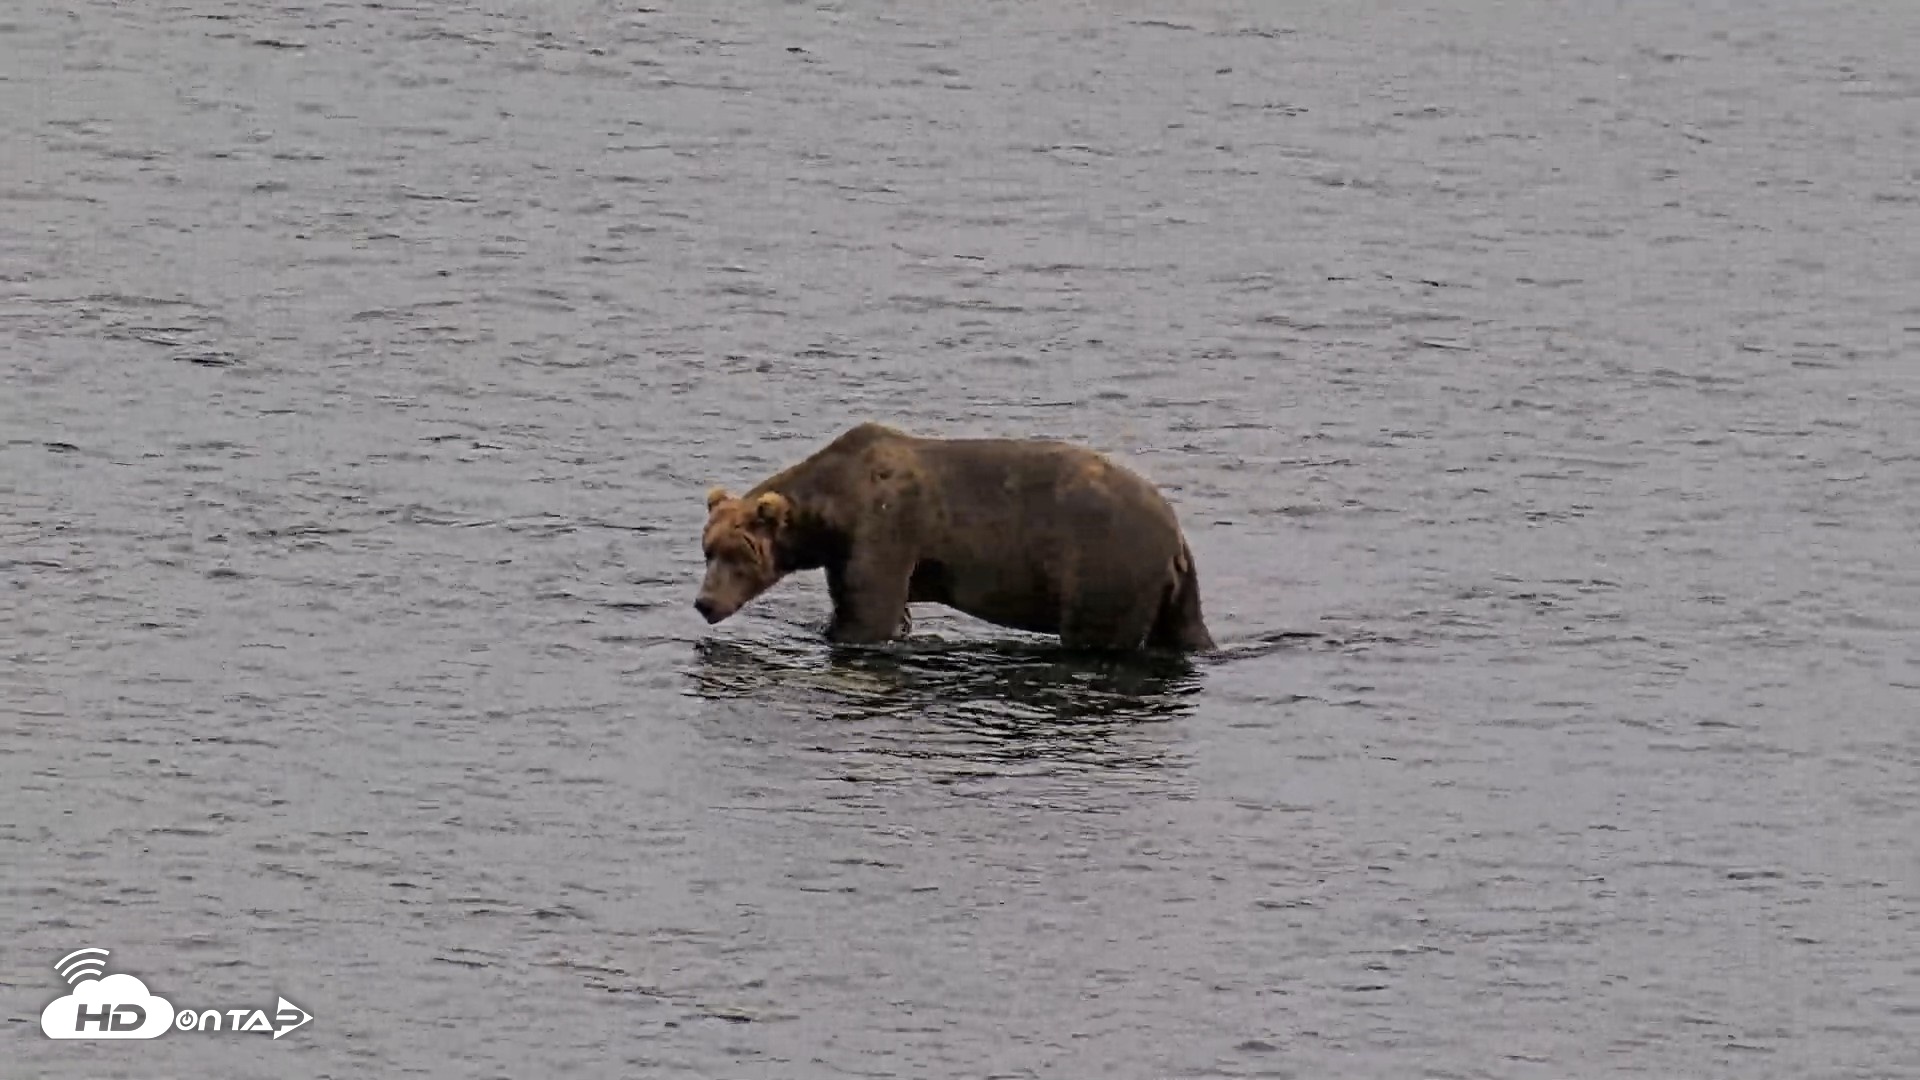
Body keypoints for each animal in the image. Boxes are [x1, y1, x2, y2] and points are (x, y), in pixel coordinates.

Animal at [694, 422, 1215, 653]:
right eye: (707, 550)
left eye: (739, 556)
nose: (704, 603)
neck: (835, 508)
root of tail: (1176, 534)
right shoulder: (849, 552)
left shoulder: (886, 529)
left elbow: (867, 615)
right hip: (1169, 588)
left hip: (1104, 566)